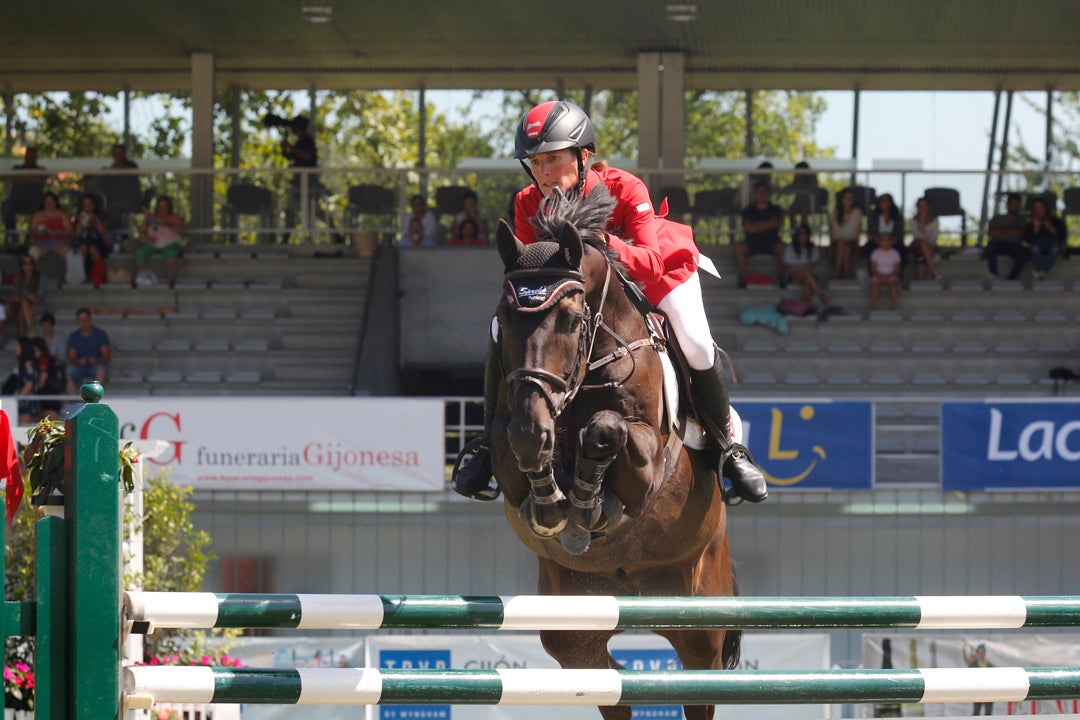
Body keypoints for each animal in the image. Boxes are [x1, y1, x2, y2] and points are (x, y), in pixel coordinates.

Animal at [490, 187, 743, 720]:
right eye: (504, 319)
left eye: (570, 319)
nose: (534, 424)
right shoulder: (509, 437)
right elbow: (513, 448)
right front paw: (551, 503)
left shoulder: (648, 460)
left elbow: (606, 431)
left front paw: (587, 504)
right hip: (577, 624)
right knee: (607, 681)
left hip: (700, 618)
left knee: (699, 680)